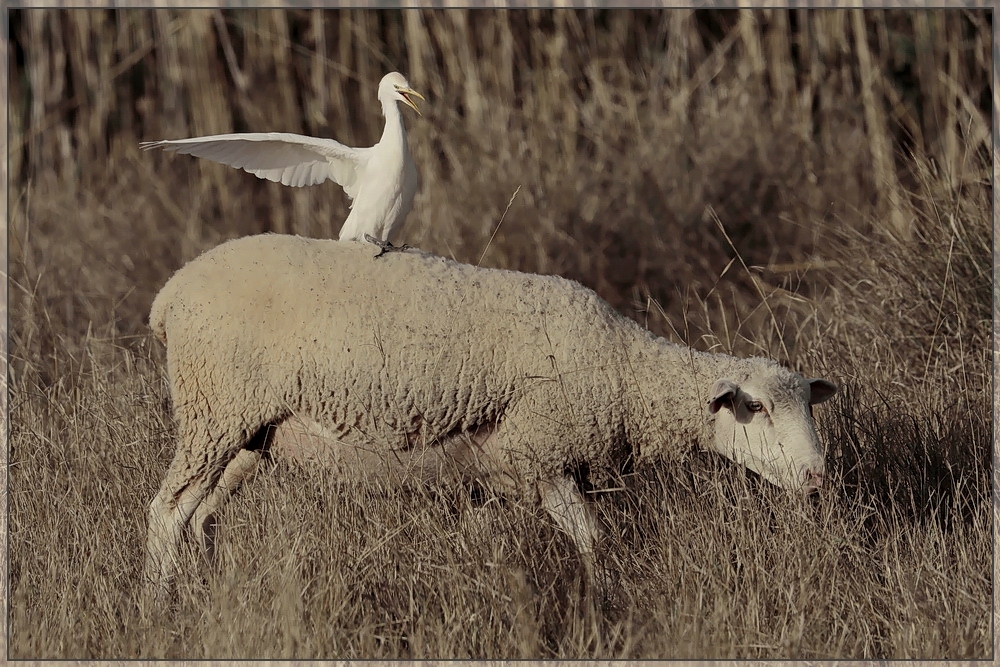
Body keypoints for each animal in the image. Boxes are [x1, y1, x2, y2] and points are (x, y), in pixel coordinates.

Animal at [145, 236, 840, 604]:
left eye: (808, 405)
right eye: (756, 408)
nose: (815, 478)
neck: (622, 370)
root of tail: (169, 294)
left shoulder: (516, 469)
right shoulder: (539, 451)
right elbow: (593, 539)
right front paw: (601, 598)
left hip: (246, 434)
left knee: (201, 516)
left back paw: (203, 589)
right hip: (214, 406)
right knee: (167, 512)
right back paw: (162, 599)